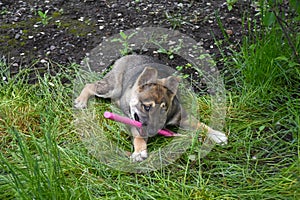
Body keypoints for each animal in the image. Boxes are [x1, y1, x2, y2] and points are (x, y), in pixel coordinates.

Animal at [75, 54, 227, 161]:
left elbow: (199, 124)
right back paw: (81, 101)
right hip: (112, 87)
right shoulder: (133, 122)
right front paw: (139, 152)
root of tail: (127, 56)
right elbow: (138, 136)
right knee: (90, 85)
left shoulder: (182, 115)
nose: (153, 132)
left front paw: (216, 134)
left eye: (164, 110)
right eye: (146, 107)